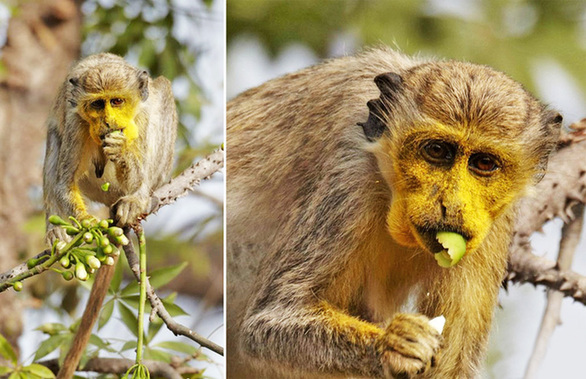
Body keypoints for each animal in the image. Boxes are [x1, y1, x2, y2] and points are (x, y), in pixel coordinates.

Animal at [42, 52, 177, 378]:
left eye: (116, 102)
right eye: (97, 105)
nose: (107, 121)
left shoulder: (140, 116)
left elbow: (138, 178)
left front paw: (134, 187)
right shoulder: (76, 119)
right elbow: (63, 182)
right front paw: (86, 225)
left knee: (164, 90)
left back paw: (140, 200)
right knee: (54, 138)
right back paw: (56, 230)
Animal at [225, 47, 560, 379]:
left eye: (485, 163)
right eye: (436, 151)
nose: (451, 205)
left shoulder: (496, 224)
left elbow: (450, 367)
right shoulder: (350, 175)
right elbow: (267, 320)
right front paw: (391, 345)